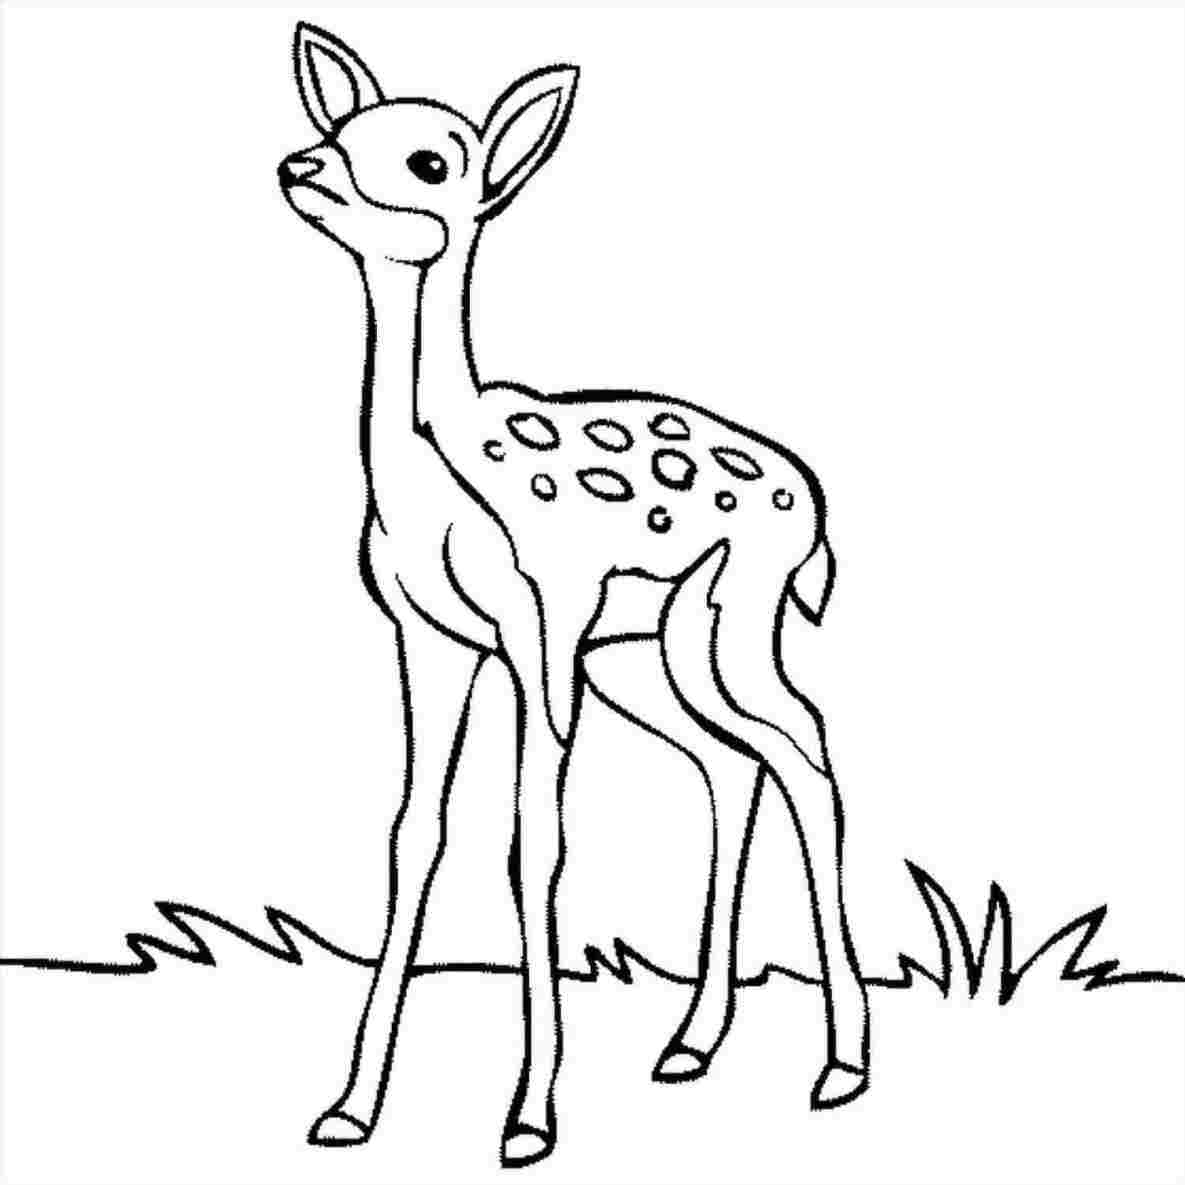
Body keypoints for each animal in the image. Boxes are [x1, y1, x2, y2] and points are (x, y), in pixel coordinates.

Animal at [278, 23, 870, 1168]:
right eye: (341, 126)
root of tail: (813, 504)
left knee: (808, 749)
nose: (301, 167)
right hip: (649, 656)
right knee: (734, 766)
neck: (434, 476)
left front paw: (527, 1120)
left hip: (730, 621)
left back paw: (842, 1066)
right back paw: (690, 1044)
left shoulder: (539, 623)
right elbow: (416, 833)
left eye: (432, 160)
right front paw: (350, 1108)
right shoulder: (431, 636)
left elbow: (535, 842)